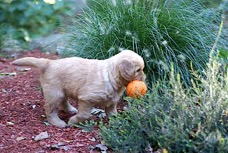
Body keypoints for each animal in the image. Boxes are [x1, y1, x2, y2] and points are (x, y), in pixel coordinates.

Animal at [12, 49, 144, 127]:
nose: (144, 77)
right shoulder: (86, 99)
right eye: (138, 70)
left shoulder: (111, 101)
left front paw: (118, 121)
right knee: (50, 109)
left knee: (63, 102)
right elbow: (84, 115)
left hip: (62, 90)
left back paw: (70, 110)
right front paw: (72, 121)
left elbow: (112, 113)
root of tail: (49, 63)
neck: (111, 74)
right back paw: (58, 122)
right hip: (55, 93)